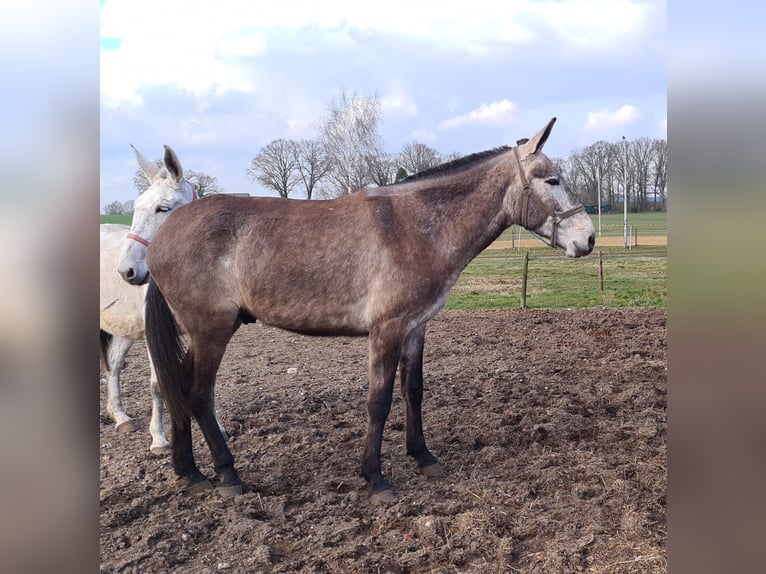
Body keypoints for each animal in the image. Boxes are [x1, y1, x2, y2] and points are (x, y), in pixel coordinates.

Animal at [100, 146, 225, 456]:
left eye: (163, 208)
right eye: (135, 208)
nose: (127, 271)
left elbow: (208, 382)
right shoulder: (153, 334)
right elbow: (157, 385)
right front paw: (158, 438)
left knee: (114, 366)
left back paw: (120, 417)